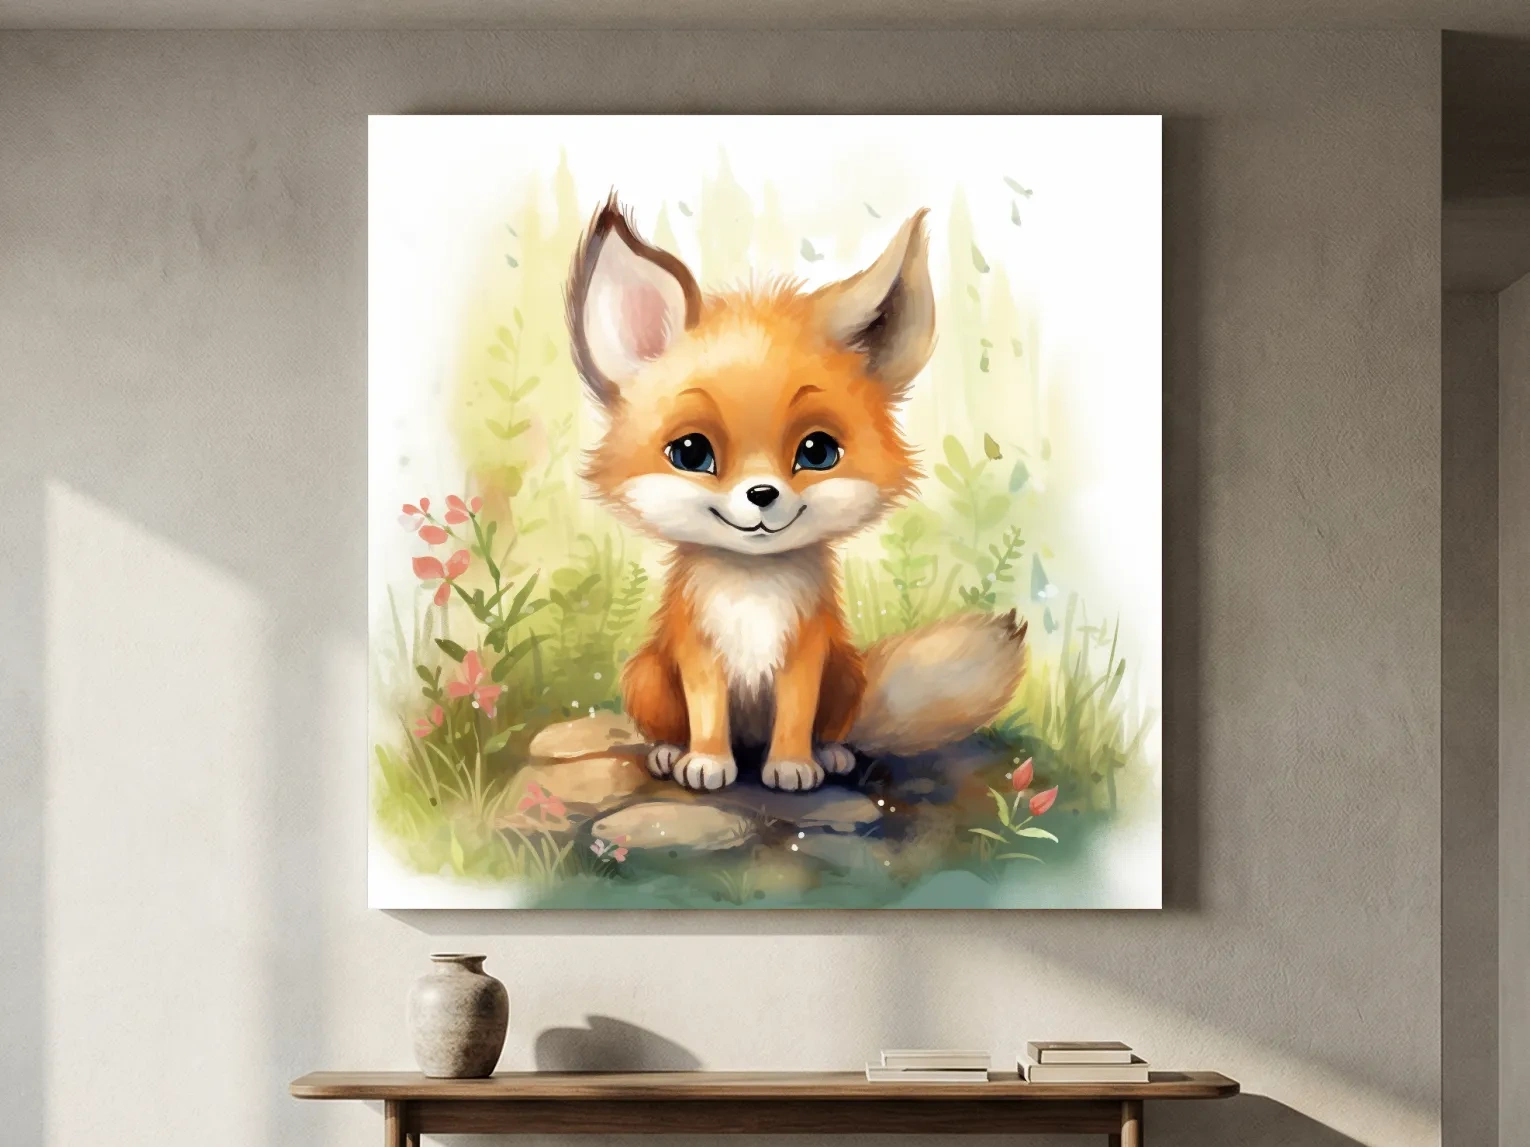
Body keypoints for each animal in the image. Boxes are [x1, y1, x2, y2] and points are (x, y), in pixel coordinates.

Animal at [565, 194, 1028, 794]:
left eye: (817, 451)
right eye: (691, 453)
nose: (762, 494)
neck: (753, 590)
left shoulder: (807, 654)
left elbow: (795, 714)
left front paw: (792, 764)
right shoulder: (699, 653)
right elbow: (707, 713)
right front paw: (707, 761)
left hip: (846, 674)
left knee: (835, 727)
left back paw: (829, 754)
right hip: (645, 674)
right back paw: (670, 752)